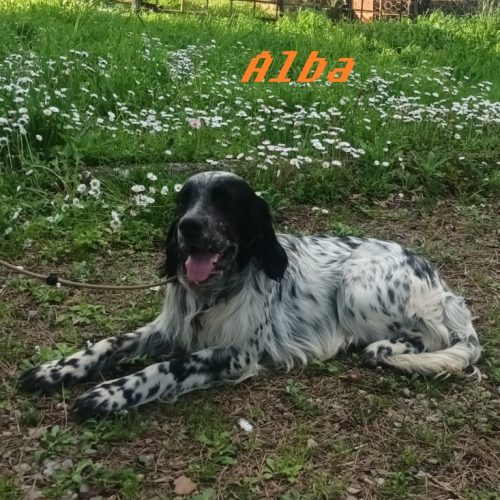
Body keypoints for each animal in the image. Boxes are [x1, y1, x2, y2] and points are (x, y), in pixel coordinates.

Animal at [19, 171, 481, 419]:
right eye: (185, 201)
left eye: (226, 203)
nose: (188, 226)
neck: (212, 293)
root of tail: (442, 284)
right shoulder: (168, 328)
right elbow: (109, 343)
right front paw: (55, 371)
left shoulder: (238, 352)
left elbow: (167, 367)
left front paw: (108, 394)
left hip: (357, 284)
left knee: (434, 335)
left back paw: (384, 347)